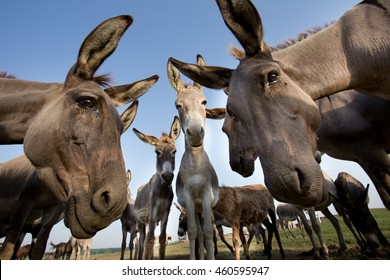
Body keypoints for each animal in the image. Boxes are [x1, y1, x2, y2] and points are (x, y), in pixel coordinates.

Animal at [133, 116, 181, 260]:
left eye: (174, 151)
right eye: (157, 152)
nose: (167, 177)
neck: (163, 191)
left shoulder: (165, 212)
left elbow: (162, 239)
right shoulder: (153, 212)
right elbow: (149, 239)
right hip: (141, 222)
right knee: (142, 241)